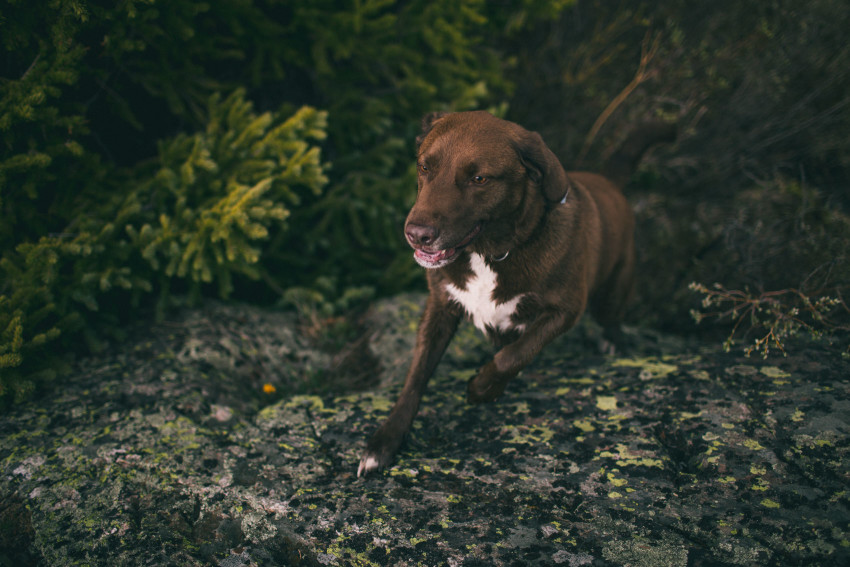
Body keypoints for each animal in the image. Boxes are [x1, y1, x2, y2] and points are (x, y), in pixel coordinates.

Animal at [354, 112, 672, 480]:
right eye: (424, 167)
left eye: (479, 178)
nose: (416, 234)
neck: (491, 253)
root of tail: (607, 182)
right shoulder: (439, 309)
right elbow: (415, 378)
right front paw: (384, 442)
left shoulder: (565, 310)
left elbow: (515, 354)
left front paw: (481, 389)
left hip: (614, 288)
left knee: (611, 318)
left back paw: (613, 341)